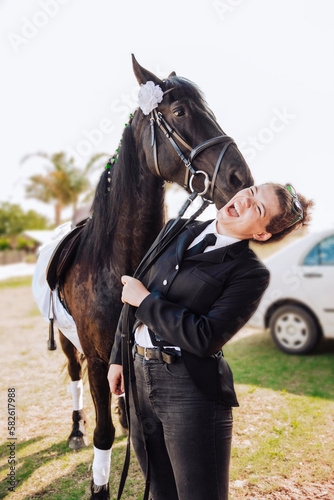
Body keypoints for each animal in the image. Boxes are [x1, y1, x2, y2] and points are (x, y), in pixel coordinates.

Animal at [58, 54, 252, 496]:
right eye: (179, 112)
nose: (240, 179)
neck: (116, 265)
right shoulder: (98, 357)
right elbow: (103, 435)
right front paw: (99, 482)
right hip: (66, 342)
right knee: (75, 377)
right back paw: (76, 430)